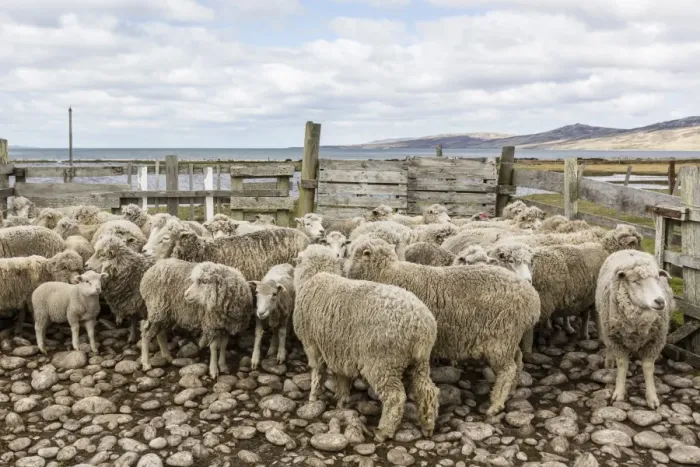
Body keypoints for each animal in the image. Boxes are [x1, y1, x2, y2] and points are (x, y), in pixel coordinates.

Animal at [294, 245, 439, 441]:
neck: (316, 275)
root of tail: (421, 325)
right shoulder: (339, 349)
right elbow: (342, 376)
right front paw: (341, 399)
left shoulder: (312, 344)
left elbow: (317, 372)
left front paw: (313, 397)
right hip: (420, 361)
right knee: (426, 390)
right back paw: (427, 425)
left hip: (383, 362)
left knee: (395, 397)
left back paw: (384, 431)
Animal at [344, 237, 541, 416]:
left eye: (354, 253)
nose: (344, 269)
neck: (386, 272)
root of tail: (532, 298)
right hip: (510, 338)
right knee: (518, 359)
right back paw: (512, 390)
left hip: (501, 339)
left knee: (508, 369)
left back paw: (496, 404)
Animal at [595, 250, 674, 409]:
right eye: (635, 281)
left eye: (657, 279)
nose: (660, 301)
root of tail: (629, 250)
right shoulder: (616, 339)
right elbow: (622, 365)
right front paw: (619, 392)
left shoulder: (654, 341)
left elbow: (648, 368)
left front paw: (652, 397)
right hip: (606, 328)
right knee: (608, 347)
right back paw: (609, 361)